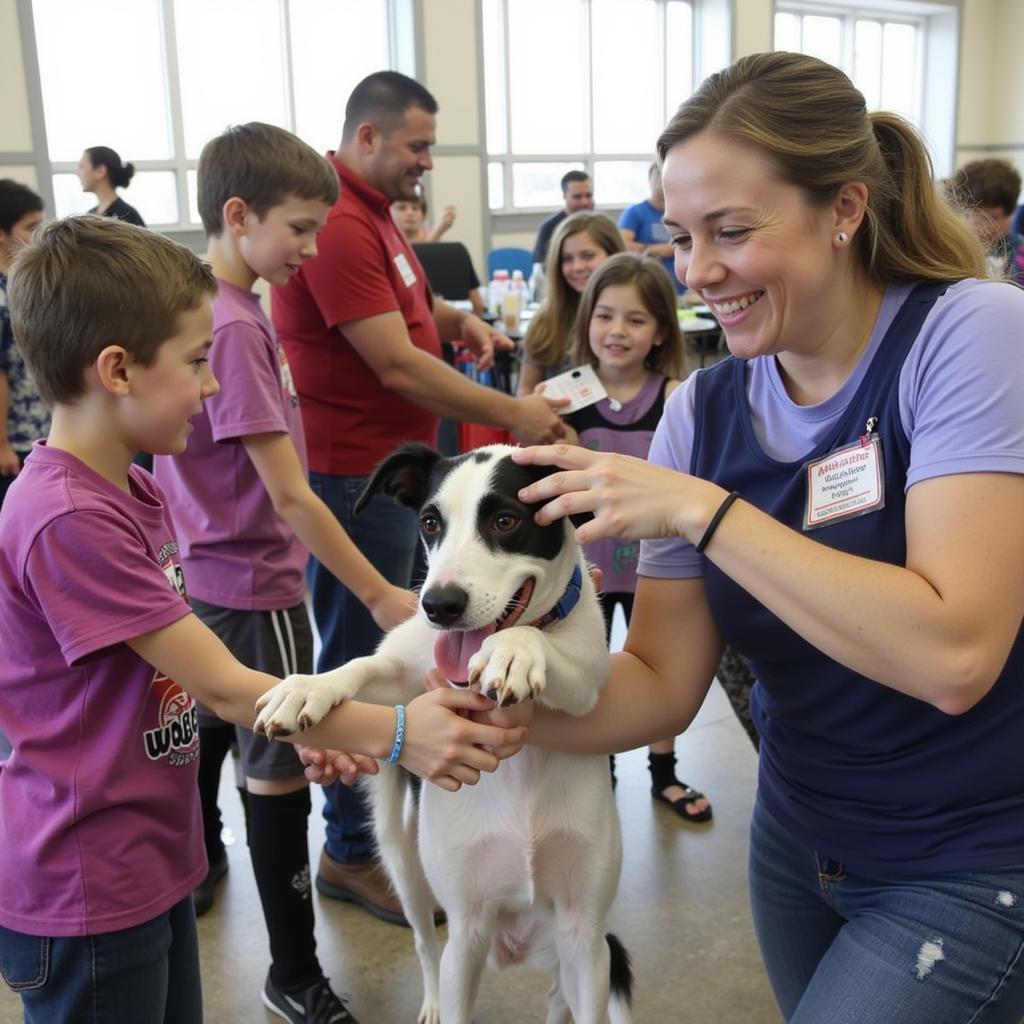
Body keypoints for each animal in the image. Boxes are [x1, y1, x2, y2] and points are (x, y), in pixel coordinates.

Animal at [253, 442, 630, 1024]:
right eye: (430, 523)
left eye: (505, 520)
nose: (439, 605)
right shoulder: (466, 929)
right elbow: (363, 665)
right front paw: (306, 688)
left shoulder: (584, 933)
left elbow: (544, 648)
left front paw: (513, 651)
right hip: (408, 870)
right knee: (427, 948)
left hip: (577, 951)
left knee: (558, 998)